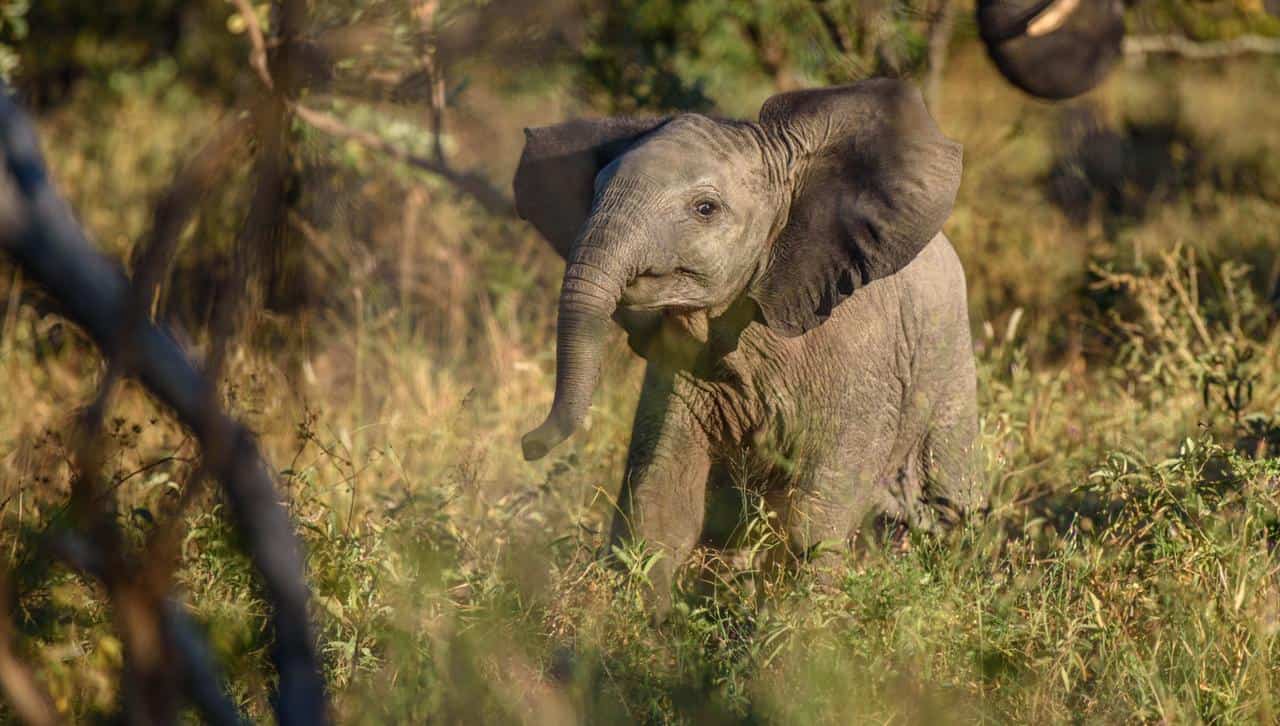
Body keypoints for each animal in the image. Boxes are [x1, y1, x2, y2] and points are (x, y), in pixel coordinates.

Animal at [514, 79, 983, 614]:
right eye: (593, 193)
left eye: (705, 209)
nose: (529, 444)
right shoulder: (682, 368)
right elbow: (661, 497)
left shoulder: (863, 354)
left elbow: (817, 514)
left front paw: (799, 631)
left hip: (950, 368)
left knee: (942, 508)